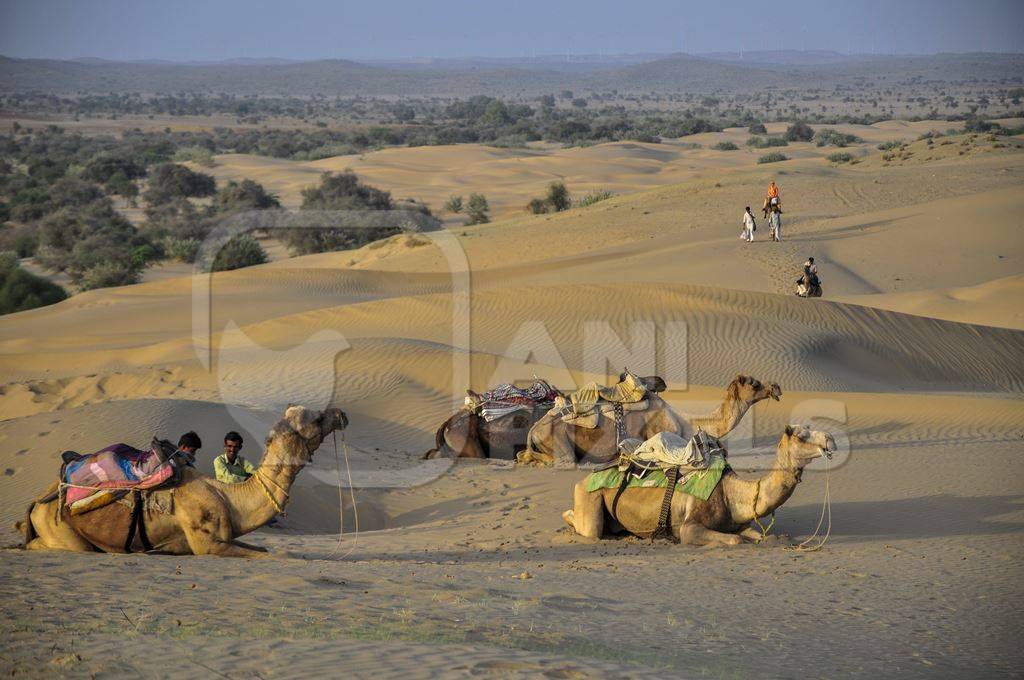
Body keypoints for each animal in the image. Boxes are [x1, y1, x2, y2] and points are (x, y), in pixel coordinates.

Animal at [17, 403, 348, 557]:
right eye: (317, 418)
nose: (340, 413)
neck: (230, 498)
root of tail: (36, 503)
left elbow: (265, 550)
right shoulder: (207, 545)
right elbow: (274, 555)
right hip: (60, 530)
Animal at [524, 374, 778, 471]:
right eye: (753, 383)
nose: (775, 387)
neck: (684, 421)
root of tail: (533, 429)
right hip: (559, 442)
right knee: (564, 460)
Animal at [565, 426, 835, 548]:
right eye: (801, 435)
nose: (830, 439)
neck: (730, 493)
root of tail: (583, 479)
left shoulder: (738, 523)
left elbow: (759, 535)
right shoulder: (690, 526)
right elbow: (734, 541)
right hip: (590, 496)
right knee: (586, 527)